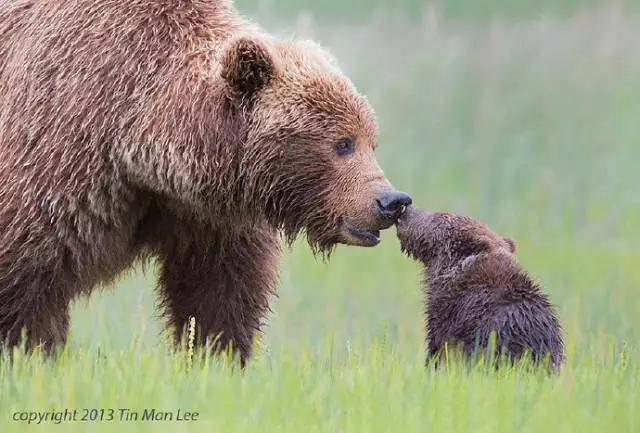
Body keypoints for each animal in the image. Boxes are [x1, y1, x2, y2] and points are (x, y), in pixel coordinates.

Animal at [0, 0, 410, 362]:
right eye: (342, 143)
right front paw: (29, 352)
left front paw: (216, 356)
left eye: (371, 140)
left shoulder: (206, 216)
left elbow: (218, 291)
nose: (392, 201)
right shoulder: (61, 152)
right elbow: (26, 275)